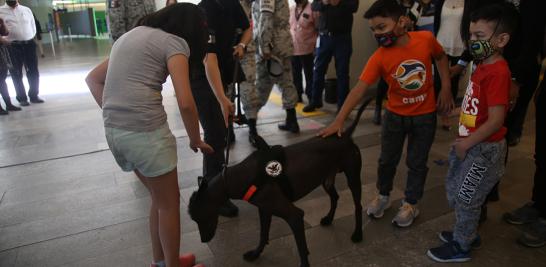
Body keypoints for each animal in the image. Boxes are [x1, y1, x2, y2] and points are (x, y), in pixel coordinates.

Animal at [189, 98, 372, 267]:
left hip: (353, 177)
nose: (204, 240)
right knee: (335, 197)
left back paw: (357, 234)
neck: (235, 177)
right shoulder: (265, 210)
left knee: (358, 206)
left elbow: (301, 249)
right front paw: (255, 254)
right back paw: (328, 219)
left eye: (201, 217)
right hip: (326, 180)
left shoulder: (294, 216)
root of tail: (346, 135)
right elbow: (263, 235)